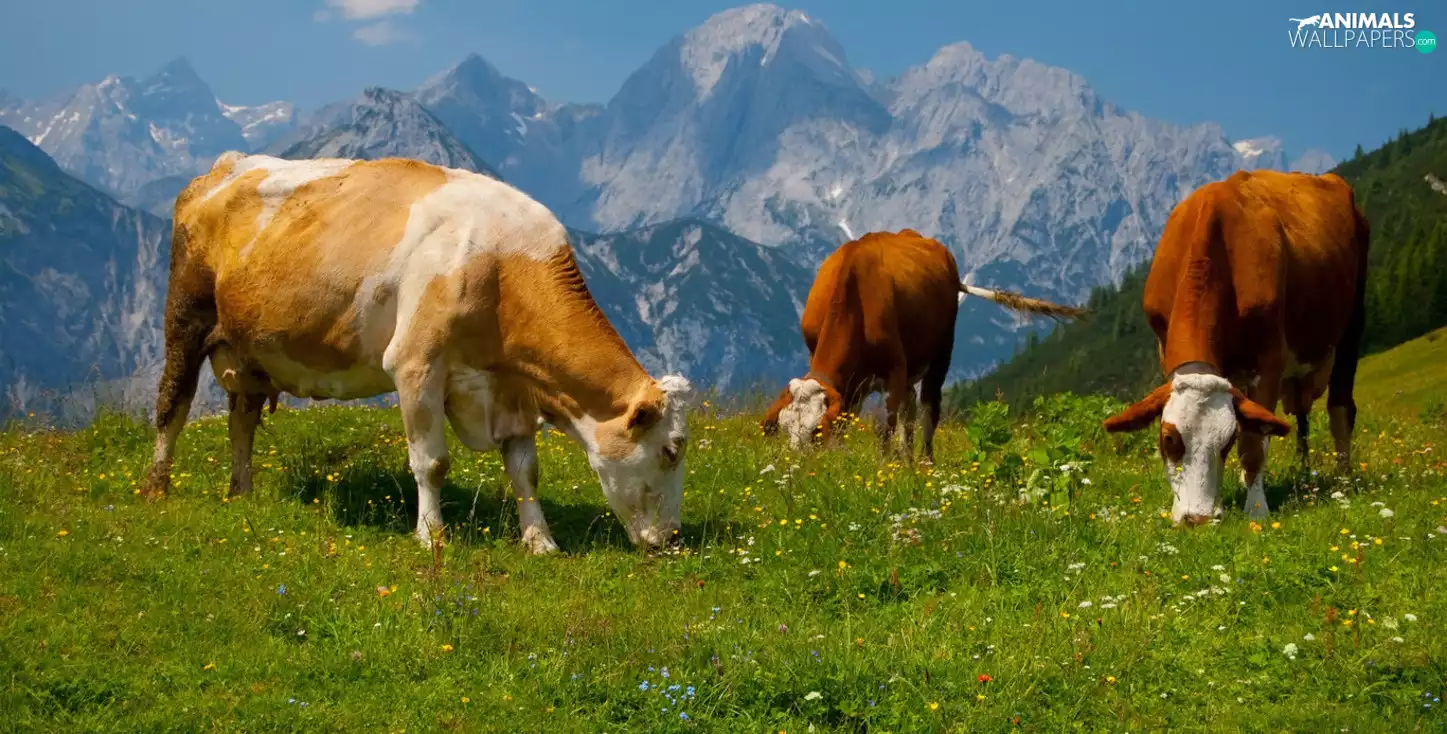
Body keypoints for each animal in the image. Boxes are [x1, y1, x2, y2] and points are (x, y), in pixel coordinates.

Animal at [141, 152, 694, 554]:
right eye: (671, 450)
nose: (671, 539)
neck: (504, 264)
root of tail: (225, 165)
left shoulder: (512, 388)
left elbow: (524, 468)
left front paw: (540, 541)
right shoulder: (416, 364)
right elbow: (431, 462)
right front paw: (432, 536)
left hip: (248, 350)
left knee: (242, 419)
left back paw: (242, 491)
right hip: (185, 318)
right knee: (173, 404)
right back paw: (156, 488)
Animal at [760, 229, 1086, 462]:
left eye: (815, 431)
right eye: (785, 428)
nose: (800, 466)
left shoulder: (893, 369)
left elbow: (885, 427)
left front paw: (883, 468)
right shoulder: (848, 381)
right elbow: (848, 422)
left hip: (941, 353)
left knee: (928, 408)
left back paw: (925, 462)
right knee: (910, 411)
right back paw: (907, 460)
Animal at [1102, 169, 1369, 525]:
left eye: (1227, 441)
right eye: (1168, 438)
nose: (1197, 519)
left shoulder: (1270, 360)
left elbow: (1254, 443)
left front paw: (1256, 508)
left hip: (1351, 324)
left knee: (1340, 410)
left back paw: (1343, 480)